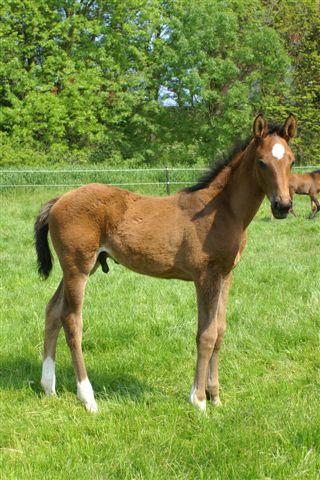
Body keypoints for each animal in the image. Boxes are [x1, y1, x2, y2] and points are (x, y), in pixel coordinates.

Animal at [35, 113, 298, 412]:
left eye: (291, 160)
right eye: (262, 162)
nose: (282, 206)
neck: (222, 210)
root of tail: (59, 199)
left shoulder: (226, 275)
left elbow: (219, 332)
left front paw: (215, 396)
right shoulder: (205, 277)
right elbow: (205, 336)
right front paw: (198, 400)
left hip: (78, 268)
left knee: (53, 310)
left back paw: (49, 387)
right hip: (78, 267)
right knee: (71, 320)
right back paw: (88, 398)